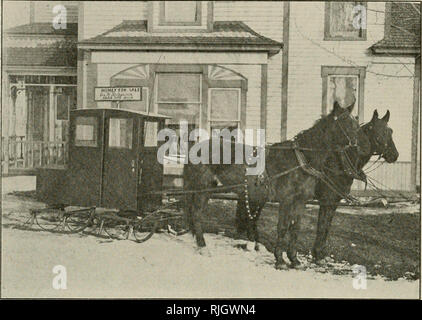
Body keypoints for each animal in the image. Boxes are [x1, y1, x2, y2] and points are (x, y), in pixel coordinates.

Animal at [183, 101, 362, 268]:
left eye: (356, 122)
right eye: (344, 121)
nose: (356, 144)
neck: (300, 159)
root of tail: (195, 147)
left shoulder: (300, 201)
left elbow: (296, 228)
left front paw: (294, 259)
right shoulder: (287, 200)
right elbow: (282, 227)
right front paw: (280, 260)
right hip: (202, 187)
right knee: (196, 214)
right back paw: (203, 246)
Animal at [314, 110, 398, 262]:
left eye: (390, 131)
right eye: (379, 132)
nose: (394, 155)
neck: (339, 164)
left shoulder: (334, 201)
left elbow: (327, 225)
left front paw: (320, 253)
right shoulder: (327, 200)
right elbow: (322, 225)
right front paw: (317, 253)